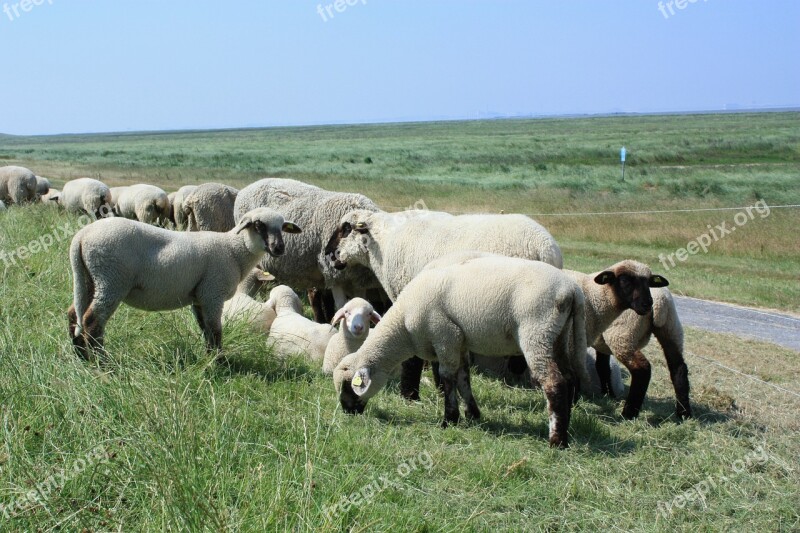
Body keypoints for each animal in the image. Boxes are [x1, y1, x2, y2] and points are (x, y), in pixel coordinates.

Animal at [66, 206, 300, 360]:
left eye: (282, 227)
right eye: (259, 225)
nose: (279, 248)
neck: (234, 250)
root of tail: (81, 236)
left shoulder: (200, 297)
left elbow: (206, 330)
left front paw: (210, 358)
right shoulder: (212, 293)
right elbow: (216, 330)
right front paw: (219, 362)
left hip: (89, 279)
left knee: (73, 314)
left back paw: (81, 357)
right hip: (112, 280)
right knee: (92, 321)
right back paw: (102, 363)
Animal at [334, 256, 592, 446]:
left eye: (349, 385)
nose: (347, 411)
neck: (403, 325)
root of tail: (571, 290)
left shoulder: (444, 335)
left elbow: (448, 377)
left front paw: (449, 419)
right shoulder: (460, 340)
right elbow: (463, 377)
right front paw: (472, 414)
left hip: (536, 332)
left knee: (553, 382)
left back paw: (556, 441)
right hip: (558, 335)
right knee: (569, 377)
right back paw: (566, 427)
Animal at [564, 262, 688, 420]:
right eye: (624, 281)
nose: (647, 303)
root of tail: (660, 303)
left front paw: (575, 401)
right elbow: (602, 366)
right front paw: (607, 394)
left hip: (623, 336)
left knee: (642, 369)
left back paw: (628, 413)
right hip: (671, 329)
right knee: (678, 367)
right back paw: (684, 413)